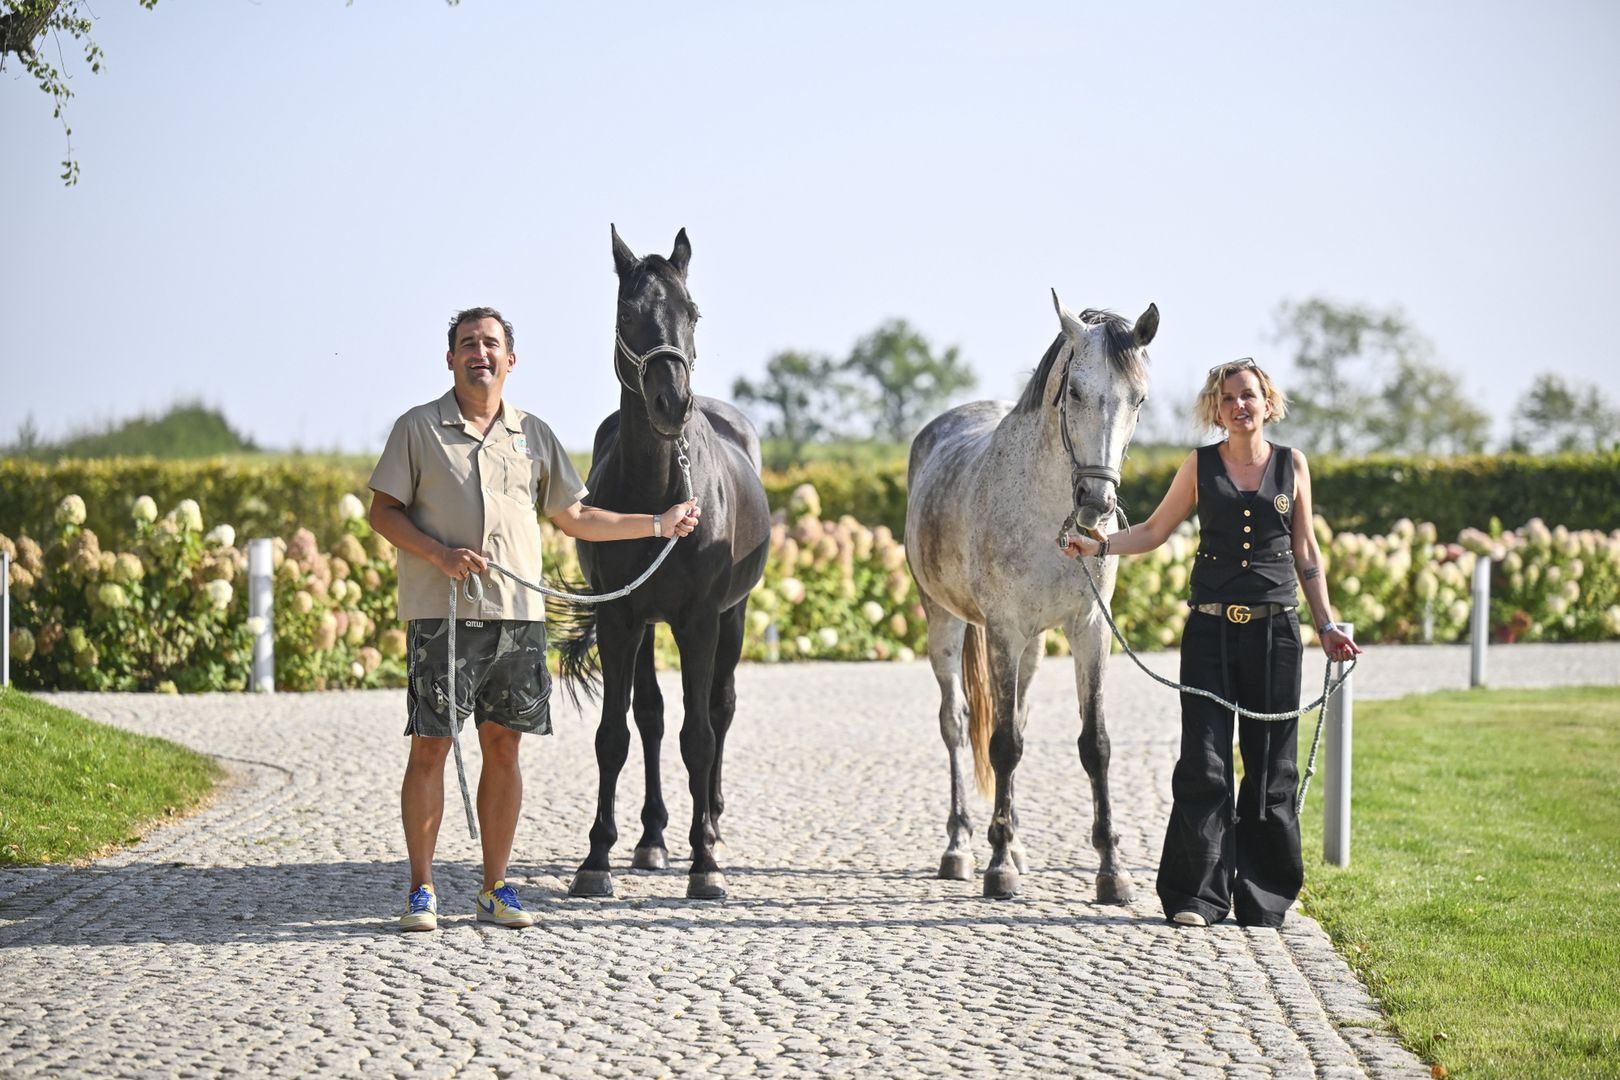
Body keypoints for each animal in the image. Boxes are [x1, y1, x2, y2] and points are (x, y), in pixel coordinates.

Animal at [557, 223, 771, 900]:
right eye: (627, 313)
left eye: (692, 311)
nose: (671, 403)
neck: (657, 491)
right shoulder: (621, 619)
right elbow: (615, 734)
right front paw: (596, 857)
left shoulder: (701, 620)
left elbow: (698, 736)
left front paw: (705, 865)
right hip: (648, 625)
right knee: (650, 718)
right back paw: (652, 838)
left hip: (733, 616)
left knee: (719, 711)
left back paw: (713, 828)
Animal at [907, 296, 1159, 906]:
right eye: (1075, 392)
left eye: (1139, 398)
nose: (1097, 502)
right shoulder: (1005, 630)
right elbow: (1002, 744)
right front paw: (998, 868)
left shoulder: (1089, 630)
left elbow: (1094, 743)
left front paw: (1112, 871)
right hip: (943, 622)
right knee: (956, 723)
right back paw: (960, 847)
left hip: (1036, 648)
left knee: (1015, 713)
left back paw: (1015, 841)